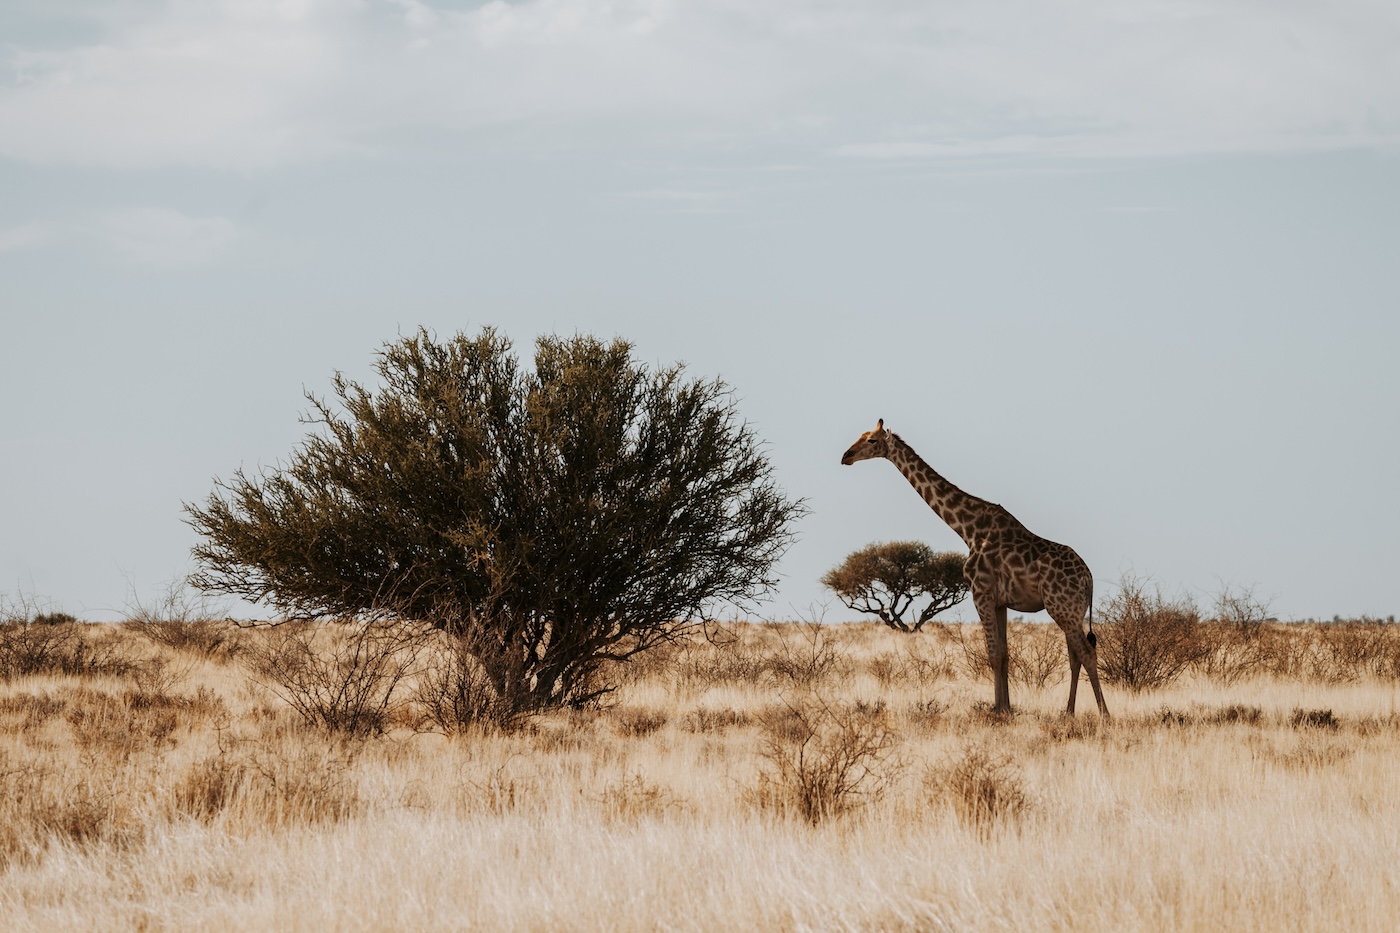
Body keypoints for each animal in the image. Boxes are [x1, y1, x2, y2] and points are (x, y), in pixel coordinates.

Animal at [841, 419, 1109, 717]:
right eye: (862, 436)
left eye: (872, 440)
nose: (846, 456)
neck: (967, 529)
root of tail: (1089, 578)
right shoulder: (1000, 601)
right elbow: (1004, 653)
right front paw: (1005, 708)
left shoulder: (980, 593)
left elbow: (993, 653)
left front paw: (997, 710)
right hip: (1072, 611)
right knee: (1075, 656)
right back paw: (1068, 712)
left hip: (1062, 608)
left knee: (1086, 652)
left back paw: (1103, 714)